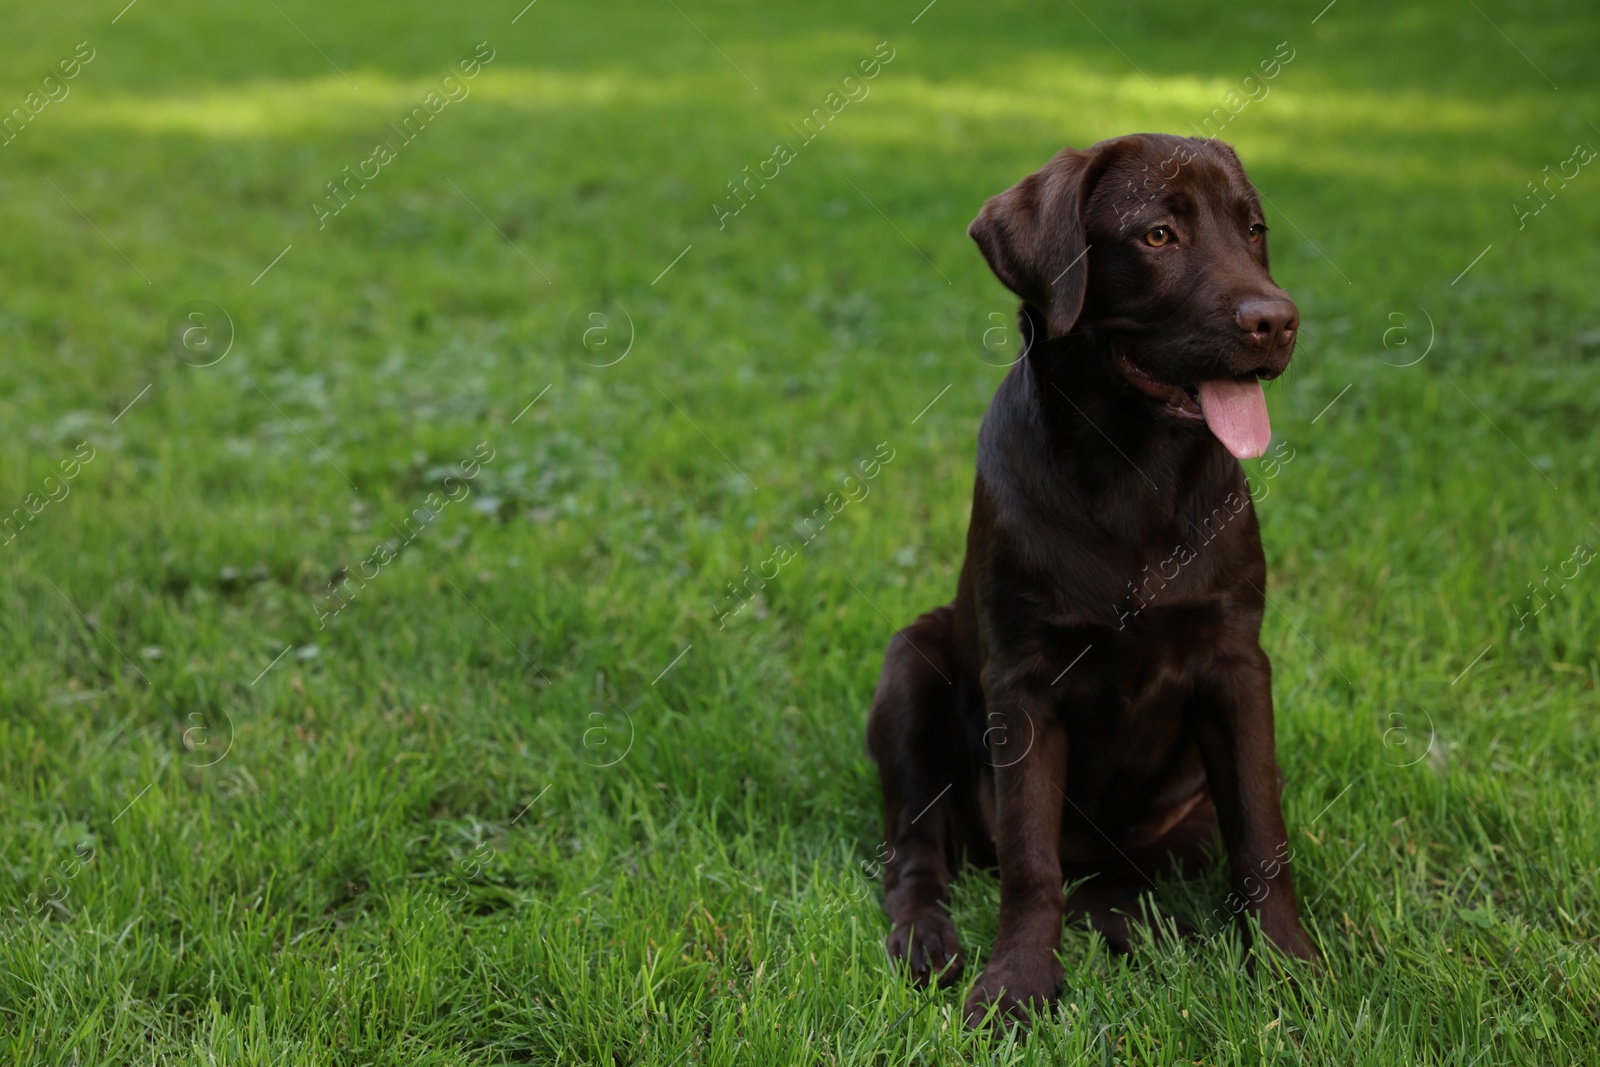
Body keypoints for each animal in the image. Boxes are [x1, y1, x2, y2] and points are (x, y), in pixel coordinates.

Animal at [870, 133, 1318, 1023]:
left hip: (1186, 801)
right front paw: (1016, 984)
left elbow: (1261, 834)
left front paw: (1286, 962)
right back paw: (928, 937)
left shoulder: (1238, 666)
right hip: (910, 663)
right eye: (1158, 236)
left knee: (1130, 870)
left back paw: (1121, 919)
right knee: (917, 852)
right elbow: (1029, 857)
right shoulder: (1023, 679)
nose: (1276, 320)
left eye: (1253, 230)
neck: (1132, 471)